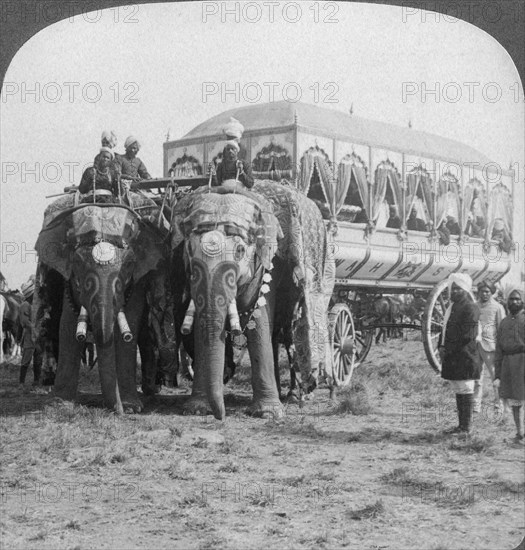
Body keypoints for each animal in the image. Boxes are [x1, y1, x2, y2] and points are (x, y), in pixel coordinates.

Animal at [35, 194, 168, 414]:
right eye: (77, 264)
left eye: (129, 265)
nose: (118, 411)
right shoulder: (68, 281)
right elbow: (68, 327)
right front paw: (58, 404)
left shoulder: (138, 280)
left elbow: (128, 330)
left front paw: (132, 407)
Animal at [170, 179, 334, 420]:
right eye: (189, 249)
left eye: (240, 250)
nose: (221, 416)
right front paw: (196, 409)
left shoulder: (271, 261)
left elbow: (259, 319)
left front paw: (269, 414)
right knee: (277, 334)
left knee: (292, 330)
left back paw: (299, 396)